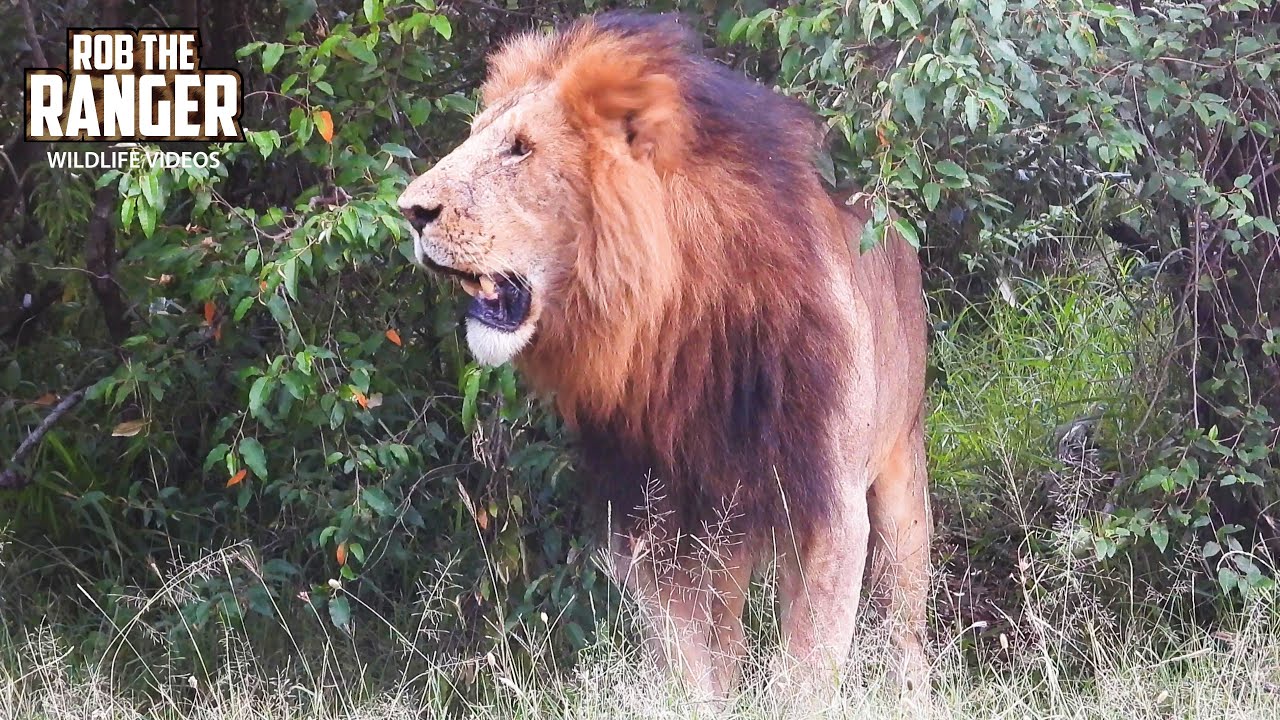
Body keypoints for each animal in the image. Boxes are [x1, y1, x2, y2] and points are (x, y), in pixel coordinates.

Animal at [398, 12, 930, 698]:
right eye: (475, 137)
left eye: (520, 148)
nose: (411, 211)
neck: (678, 325)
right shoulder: (652, 525)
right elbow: (692, 670)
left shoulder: (827, 507)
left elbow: (807, 670)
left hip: (900, 474)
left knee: (905, 623)